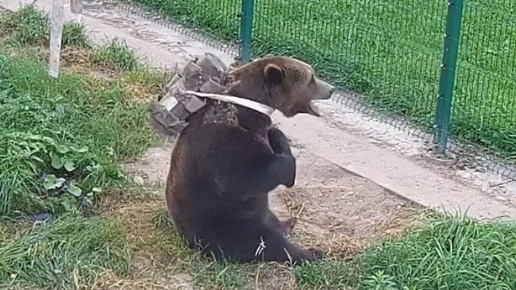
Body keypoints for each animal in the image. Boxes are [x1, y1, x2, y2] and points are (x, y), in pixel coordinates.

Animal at [165, 54, 334, 266]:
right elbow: (248, 176)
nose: (331, 89)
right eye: (311, 78)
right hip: (227, 225)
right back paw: (310, 253)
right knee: (268, 242)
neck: (251, 105)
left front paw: (278, 135)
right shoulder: (226, 140)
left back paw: (288, 223)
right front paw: (289, 170)